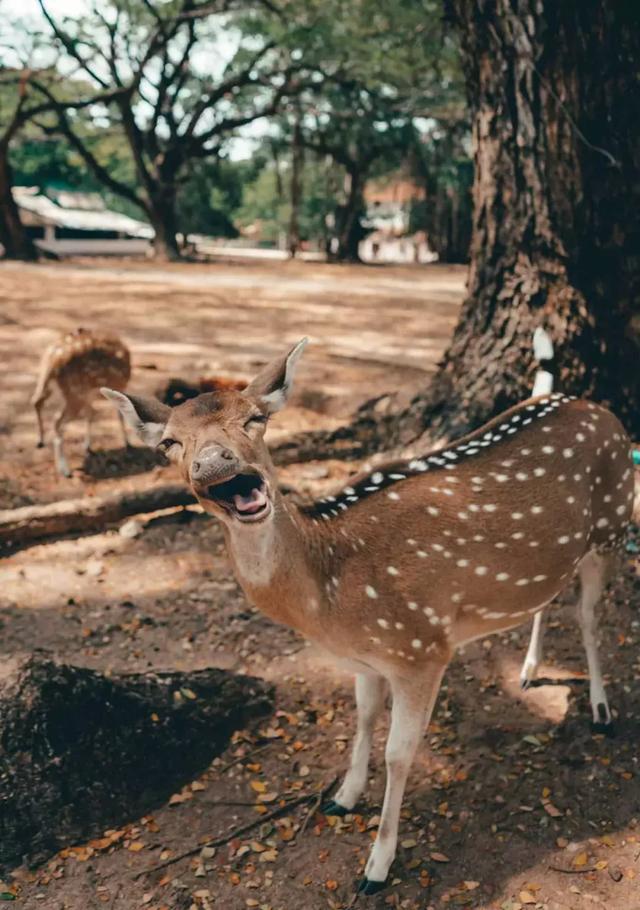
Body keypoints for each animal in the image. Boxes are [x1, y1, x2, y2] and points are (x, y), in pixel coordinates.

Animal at [31, 326, 131, 478]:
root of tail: (54, 359)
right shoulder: (119, 389)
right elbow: (119, 414)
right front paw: (128, 445)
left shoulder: (89, 396)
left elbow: (90, 414)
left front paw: (88, 446)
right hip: (74, 390)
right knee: (57, 420)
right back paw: (64, 470)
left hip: (45, 378)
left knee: (37, 400)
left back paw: (40, 442)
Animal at [102, 338, 632, 896]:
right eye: (169, 443)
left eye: (255, 418)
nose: (212, 463)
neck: (331, 598)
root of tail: (595, 407)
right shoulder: (365, 660)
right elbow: (361, 718)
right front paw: (343, 797)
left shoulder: (422, 649)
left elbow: (399, 753)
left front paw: (377, 866)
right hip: (556, 556)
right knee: (548, 598)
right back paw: (529, 671)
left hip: (612, 527)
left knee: (590, 617)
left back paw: (601, 710)